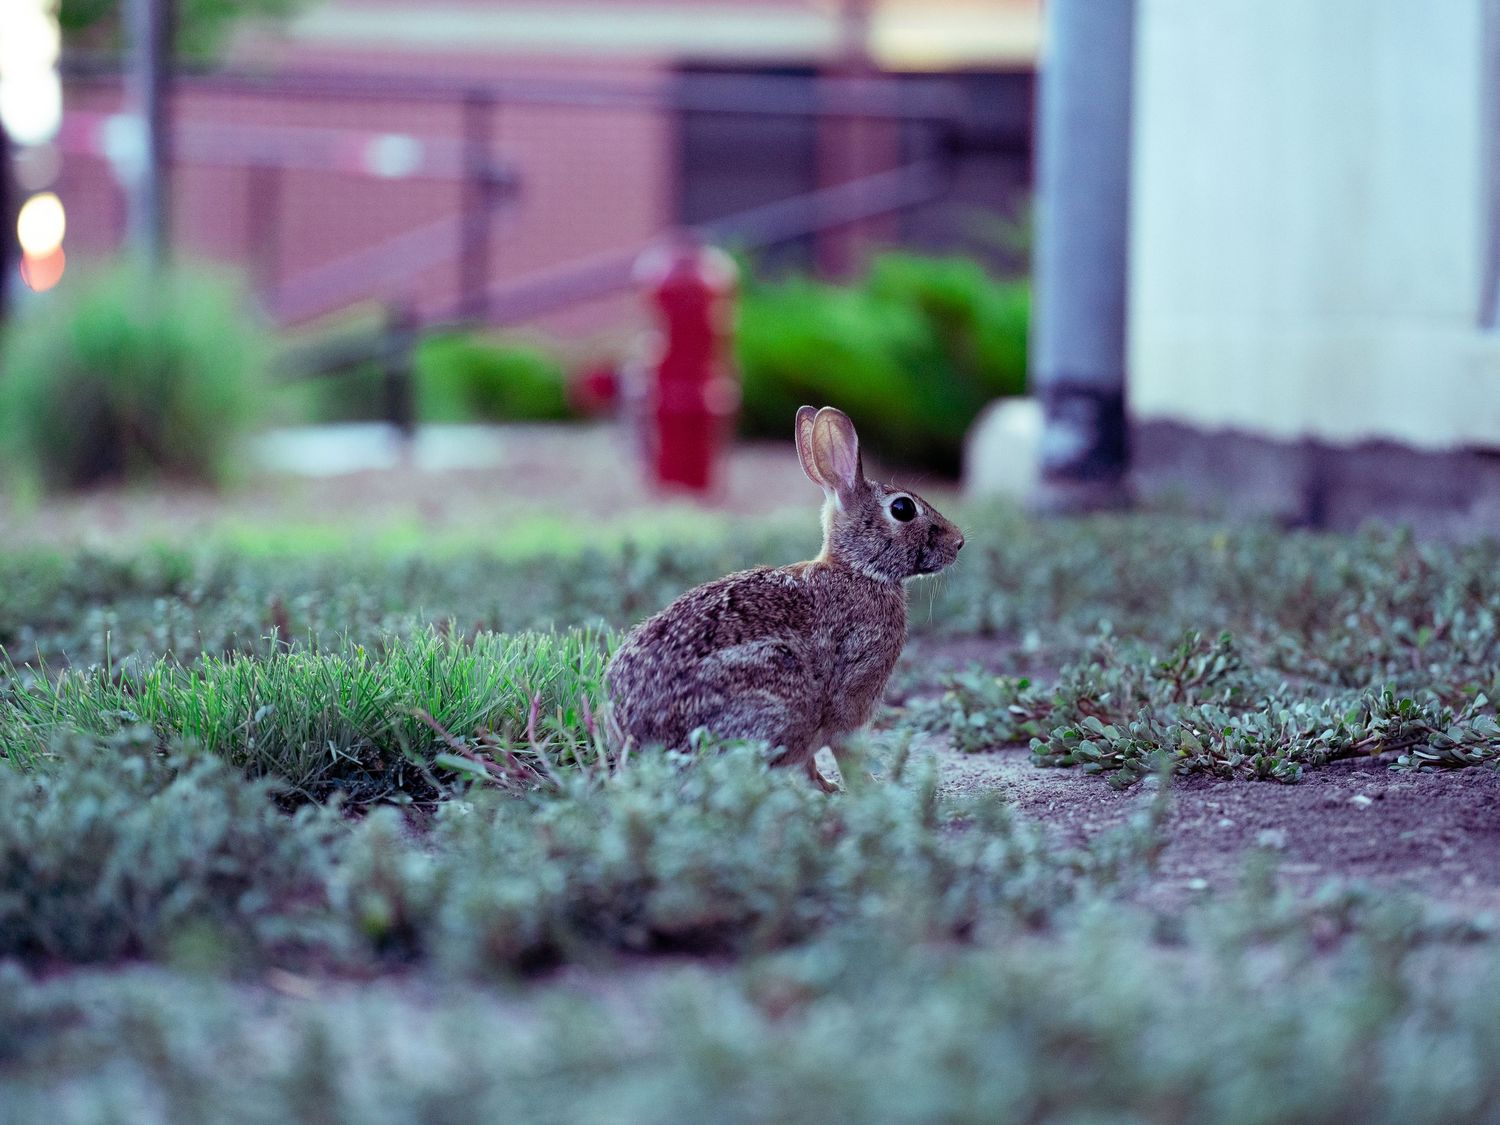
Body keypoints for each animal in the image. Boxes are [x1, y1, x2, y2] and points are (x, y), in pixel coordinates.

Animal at [606, 405, 965, 790]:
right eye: (902, 509)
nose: (959, 542)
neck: (858, 570)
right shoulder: (851, 692)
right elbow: (844, 748)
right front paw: (863, 788)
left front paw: (829, 788)